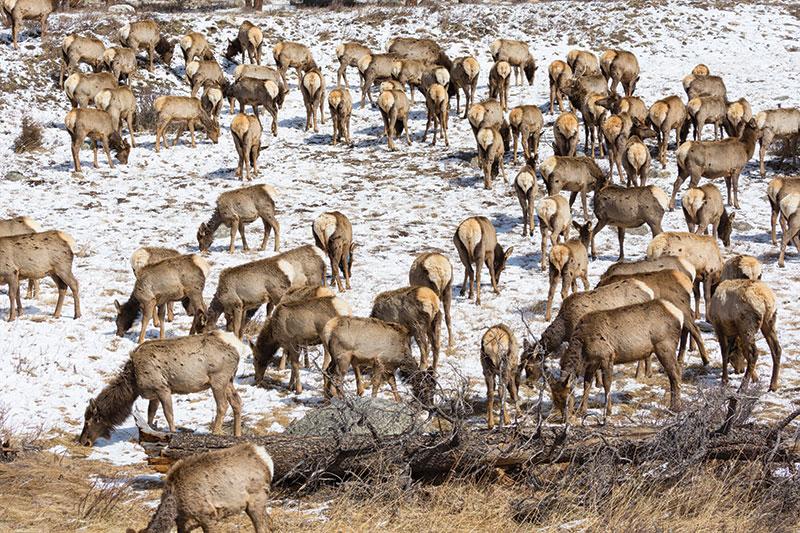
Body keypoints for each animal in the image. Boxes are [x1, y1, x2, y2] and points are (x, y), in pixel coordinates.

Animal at [78, 331, 245, 445]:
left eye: (88, 422)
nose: (82, 441)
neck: (134, 384)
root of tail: (239, 347)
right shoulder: (154, 394)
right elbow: (150, 414)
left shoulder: (162, 387)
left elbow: (168, 414)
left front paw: (172, 434)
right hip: (229, 380)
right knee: (237, 401)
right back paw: (237, 434)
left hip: (218, 378)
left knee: (222, 405)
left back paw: (215, 432)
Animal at [126, 443, 274, 533]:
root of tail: (265, 457)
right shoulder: (184, 524)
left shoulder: (208, 515)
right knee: (269, 522)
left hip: (257, 498)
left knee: (263, 527)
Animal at [198, 245, 327, 338]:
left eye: (201, 329)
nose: (227, 329)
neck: (221, 299)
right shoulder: (245, 306)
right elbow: (242, 327)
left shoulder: (237, 304)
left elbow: (237, 326)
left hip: (298, 285)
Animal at [549, 299, 684, 424]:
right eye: (554, 399)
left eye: (566, 397)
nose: (564, 419)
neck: (582, 351)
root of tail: (678, 314)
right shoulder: (592, 364)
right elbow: (587, 385)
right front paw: (583, 410)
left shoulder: (607, 356)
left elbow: (607, 384)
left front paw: (608, 411)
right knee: (672, 375)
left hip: (664, 345)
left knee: (676, 374)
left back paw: (675, 408)